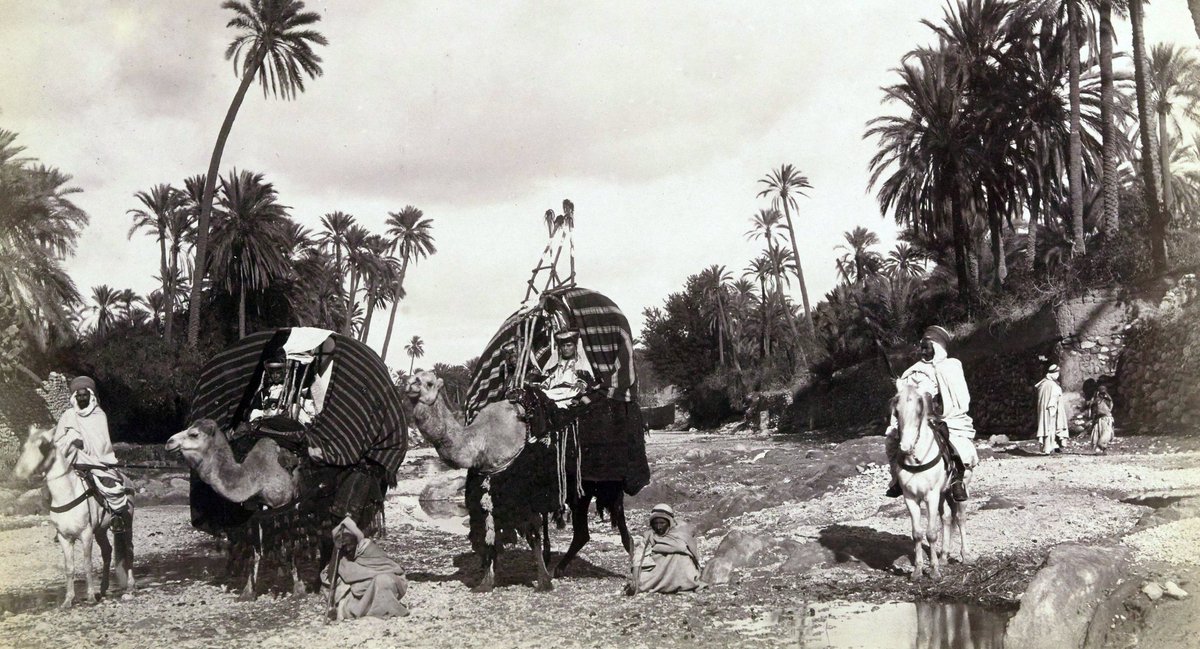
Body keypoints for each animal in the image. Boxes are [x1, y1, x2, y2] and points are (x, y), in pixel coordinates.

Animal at [13, 422, 135, 604]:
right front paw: (68, 599)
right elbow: (69, 568)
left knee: (129, 550)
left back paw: (130, 586)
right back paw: (103, 588)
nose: (20, 473)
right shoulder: (64, 538)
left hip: (127, 525)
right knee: (107, 552)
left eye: (43, 446)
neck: (67, 494)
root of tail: (127, 481)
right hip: (100, 530)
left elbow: (87, 564)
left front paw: (90, 596)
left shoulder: (86, 535)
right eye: (24, 446)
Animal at [164, 415, 302, 597]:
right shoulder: (255, 507)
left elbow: (289, 545)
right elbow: (256, 548)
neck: (256, 474)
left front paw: (298, 589)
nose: (169, 442)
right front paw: (248, 591)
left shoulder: (284, 502)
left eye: (194, 434)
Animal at [405, 367, 633, 590]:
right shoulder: (486, 487)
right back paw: (559, 569)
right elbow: (489, 534)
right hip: (580, 489)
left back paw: (632, 576)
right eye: (413, 377)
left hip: (608, 483)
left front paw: (543, 582)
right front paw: (486, 582)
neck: (480, 442)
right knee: (582, 532)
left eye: (429, 382)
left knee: (619, 526)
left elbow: (532, 537)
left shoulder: (521, 493)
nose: (409, 385)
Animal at [892, 376, 964, 580]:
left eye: (919, 410)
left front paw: (934, 571)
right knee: (946, 518)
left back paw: (965, 556)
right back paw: (944, 557)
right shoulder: (910, 498)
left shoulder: (931, 496)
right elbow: (917, 533)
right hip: (943, 494)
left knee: (960, 519)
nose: (905, 447)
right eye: (896, 411)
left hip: (956, 493)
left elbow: (931, 533)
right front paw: (917, 571)